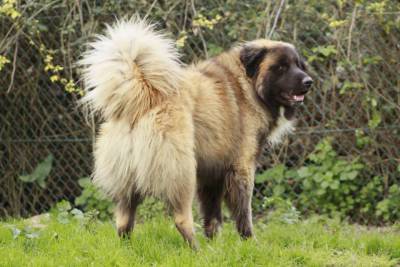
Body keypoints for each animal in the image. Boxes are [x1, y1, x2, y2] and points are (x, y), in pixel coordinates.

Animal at [80, 18, 312, 249]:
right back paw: (196, 250)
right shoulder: (241, 168)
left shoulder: (212, 174)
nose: (308, 81)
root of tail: (144, 95)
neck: (248, 84)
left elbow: (213, 217)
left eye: (298, 65)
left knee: (123, 222)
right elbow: (243, 214)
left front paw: (215, 245)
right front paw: (249, 242)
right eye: (281, 67)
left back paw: (129, 249)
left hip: (129, 182)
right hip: (182, 174)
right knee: (181, 219)